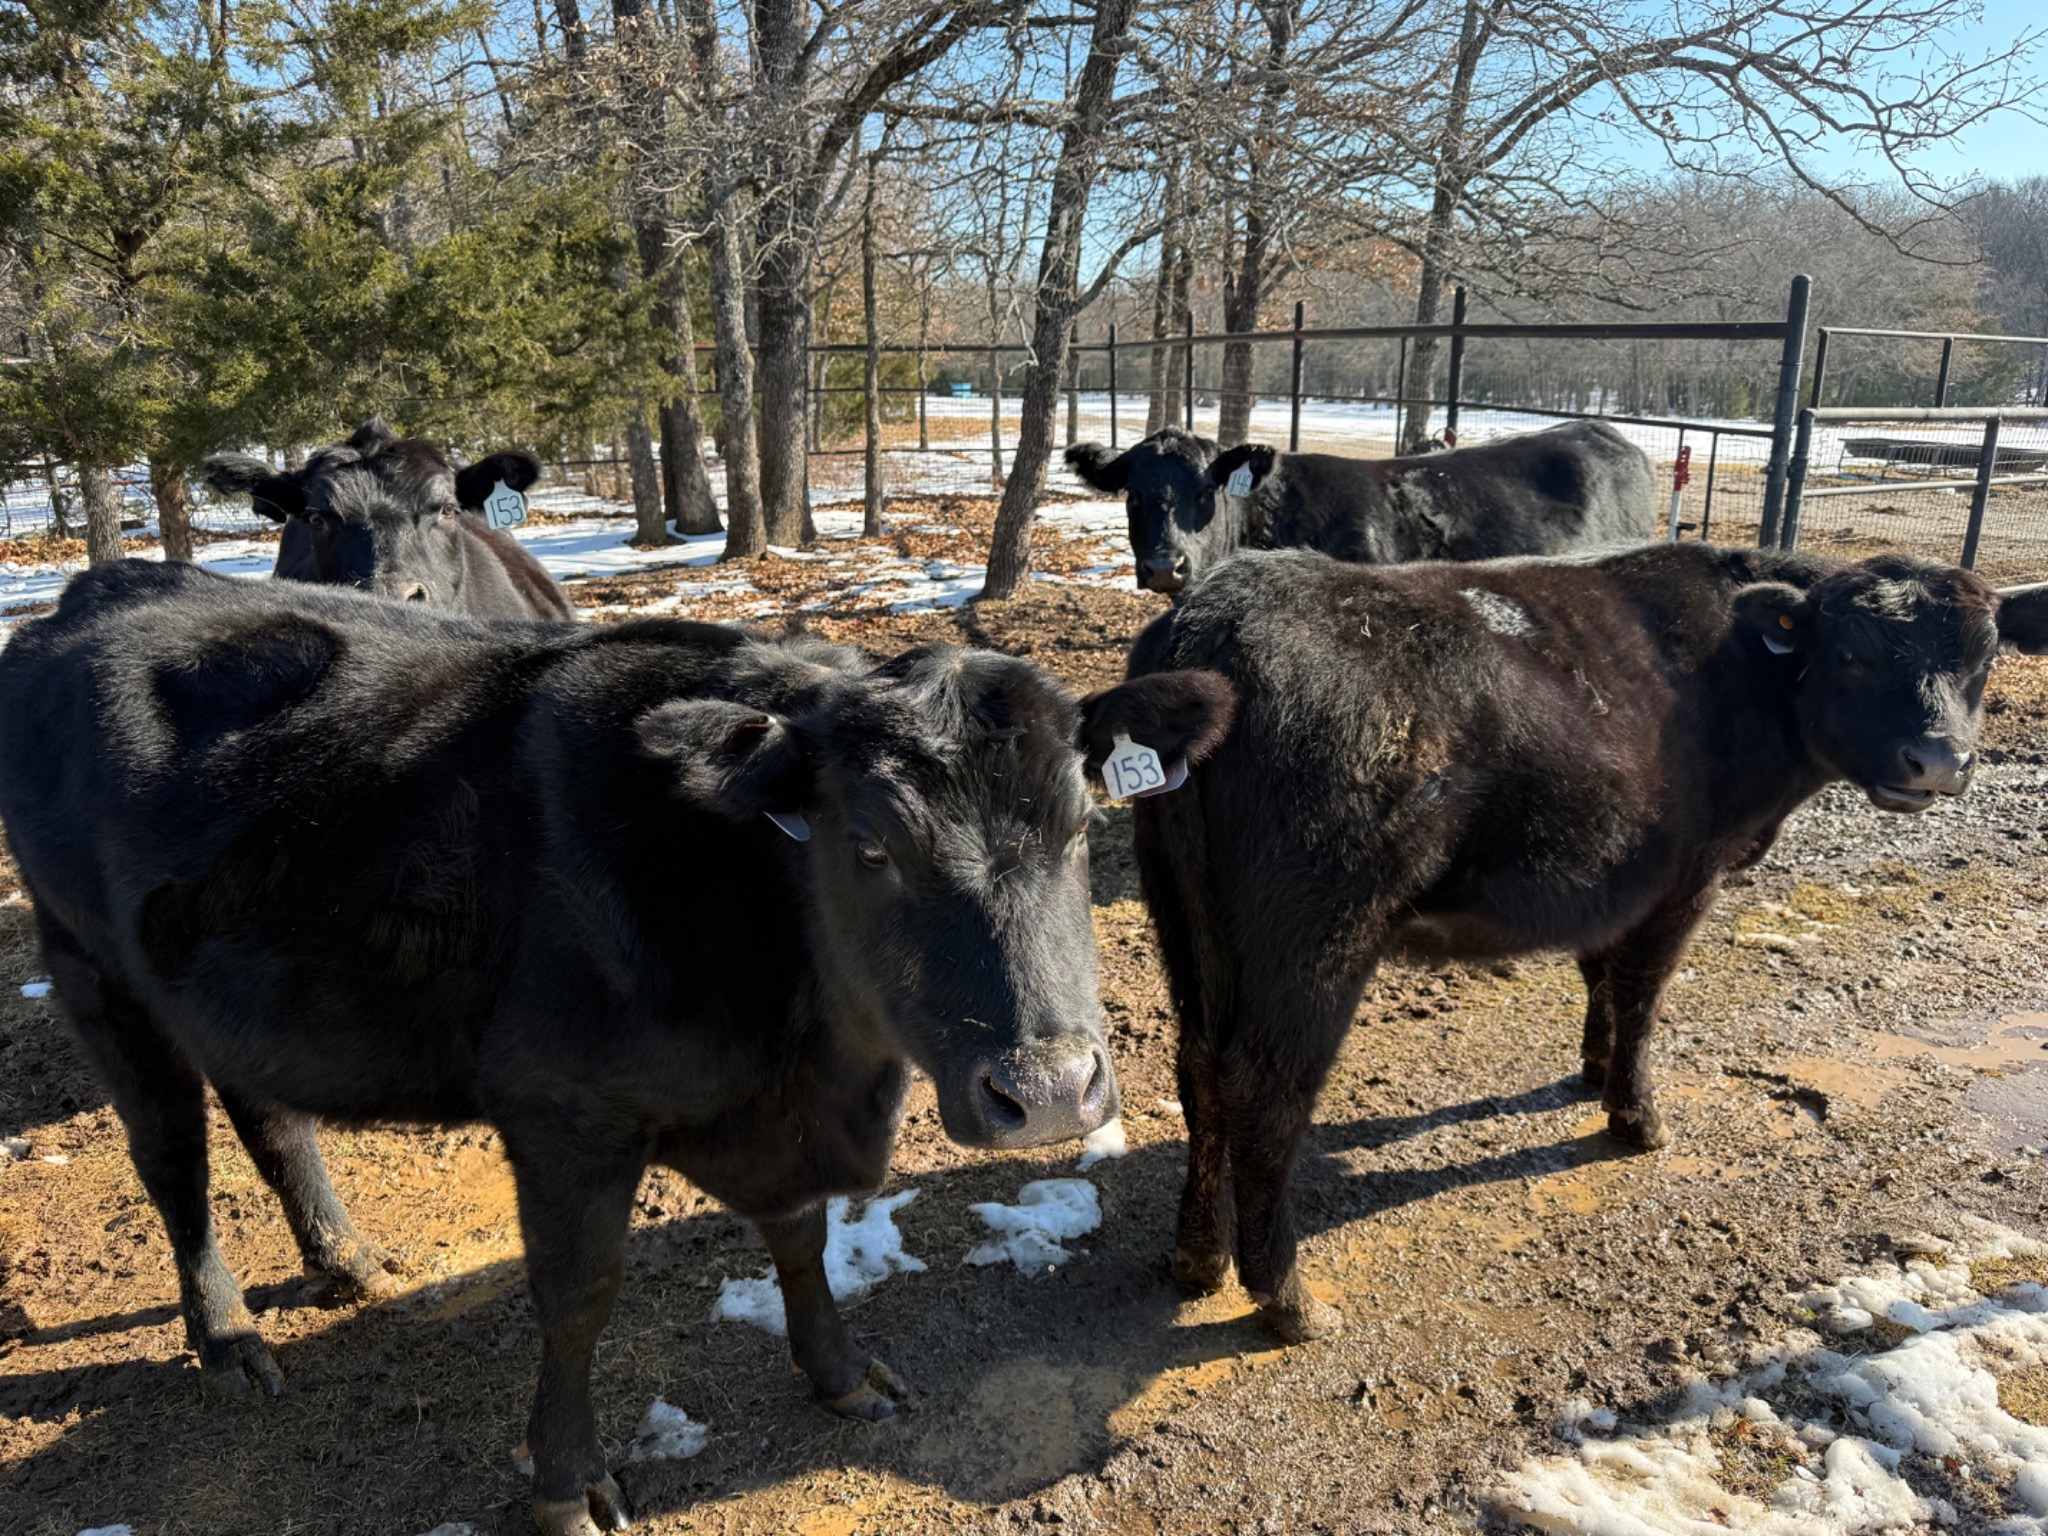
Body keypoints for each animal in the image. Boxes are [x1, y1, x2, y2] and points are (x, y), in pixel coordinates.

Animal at [0, 560, 1231, 1536]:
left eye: (1083, 822)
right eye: (873, 845)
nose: (1053, 1091)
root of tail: (108, 586)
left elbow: (799, 1237)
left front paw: (838, 1375)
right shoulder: (563, 1115)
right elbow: (577, 1297)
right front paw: (566, 1482)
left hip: (217, 989)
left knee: (268, 1116)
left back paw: (344, 1259)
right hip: (91, 966)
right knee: (173, 1161)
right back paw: (226, 1340)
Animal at [1103, 542, 2048, 1344]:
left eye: (1983, 659)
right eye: (1851, 655)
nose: (1938, 760)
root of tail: (1221, 609)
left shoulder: (1613, 881)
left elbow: (1600, 974)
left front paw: (1592, 1071)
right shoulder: (1686, 877)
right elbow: (1641, 995)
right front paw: (1637, 1117)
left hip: (1189, 922)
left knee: (1200, 1068)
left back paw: (1198, 1259)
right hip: (1314, 938)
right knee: (1264, 1090)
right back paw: (1289, 1301)